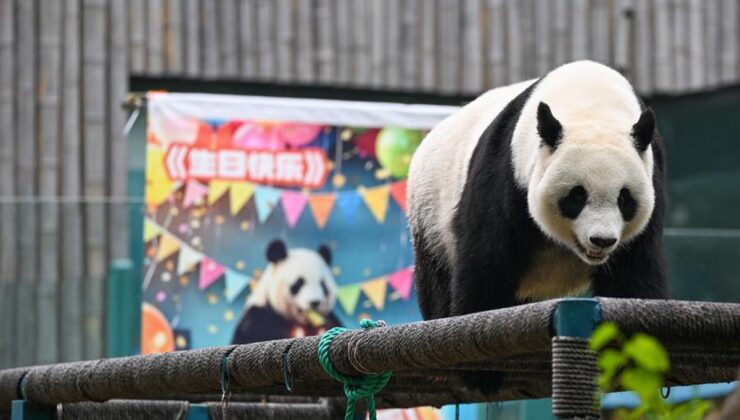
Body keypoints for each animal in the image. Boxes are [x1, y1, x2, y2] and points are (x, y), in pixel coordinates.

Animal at [407, 61, 668, 392]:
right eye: (577, 196)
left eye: (624, 199)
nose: (602, 240)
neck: (591, 104)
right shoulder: (507, 172)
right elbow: (487, 261)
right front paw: (481, 370)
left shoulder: (651, 173)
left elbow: (633, 272)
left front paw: (633, 360)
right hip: (430, 214)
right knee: (436, 278)